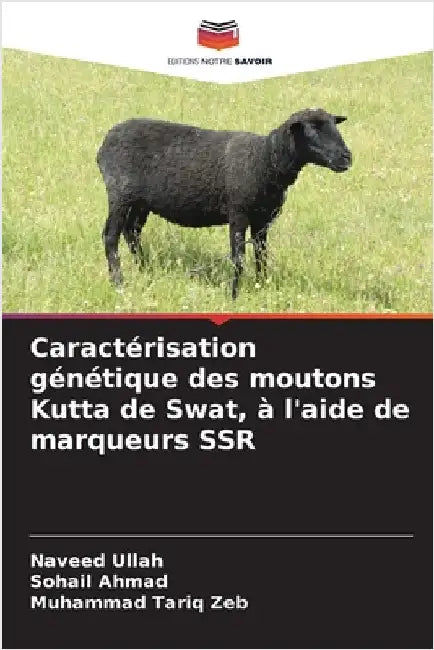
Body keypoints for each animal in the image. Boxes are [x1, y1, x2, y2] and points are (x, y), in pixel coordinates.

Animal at [97, 108, 352, 299]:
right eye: (312, 129)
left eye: (334, 124)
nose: (347, 157)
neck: (265, 159)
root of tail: (105, 142)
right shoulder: (238, 213)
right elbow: (238, 258)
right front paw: (234, 295)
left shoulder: (262, 219)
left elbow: (261, 255)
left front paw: (261, 287)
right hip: (119, 194)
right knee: (111, 236)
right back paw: (119, 282)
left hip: (140, 202)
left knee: (132, 232)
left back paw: (145, 270)